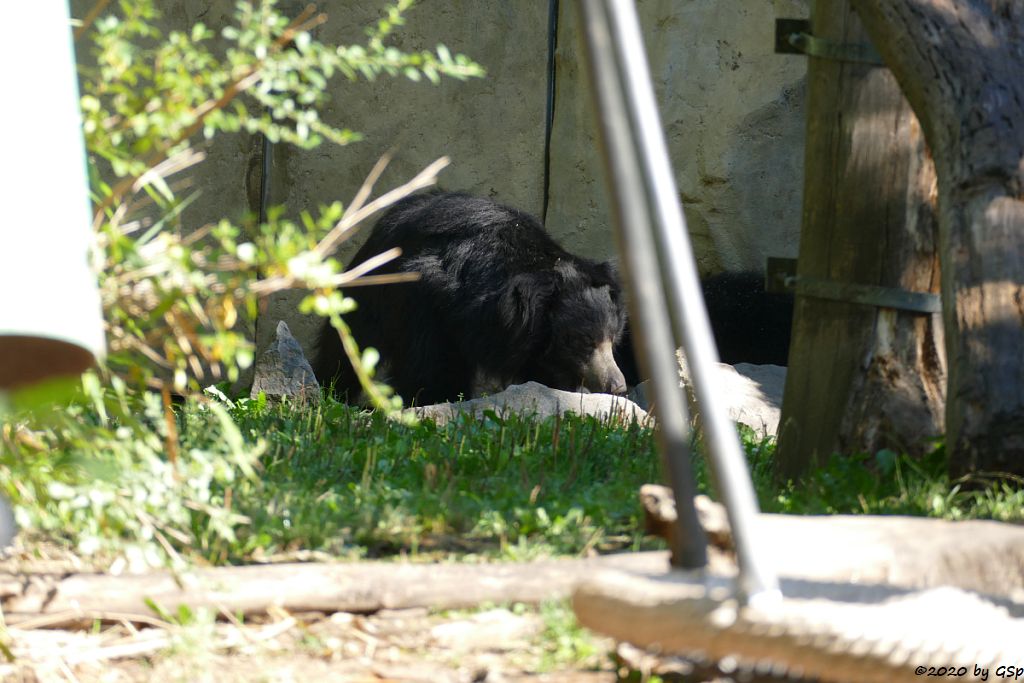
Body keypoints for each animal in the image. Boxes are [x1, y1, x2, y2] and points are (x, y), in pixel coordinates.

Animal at [315, 192, 626, 405]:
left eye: (612, 339)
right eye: (584, 342)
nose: (618, 386)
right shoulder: (425, 303)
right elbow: (430, 367)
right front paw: (432, 399)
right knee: (347, 342)